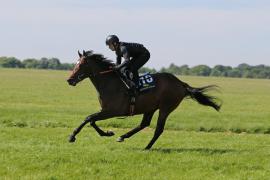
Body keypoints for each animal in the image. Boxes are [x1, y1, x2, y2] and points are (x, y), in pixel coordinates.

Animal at [66, 50, 220, 150]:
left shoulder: (112, 111)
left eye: (81, 65)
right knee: (144, 123)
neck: (110, 83)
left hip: (166, 108)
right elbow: (91, 120)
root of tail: (181, 83)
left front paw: (72, 136)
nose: (69, 80)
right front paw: (108, 133)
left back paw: (147, 147)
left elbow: (88, 118)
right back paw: (123, 136)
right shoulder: (105, 110)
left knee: (158, 129)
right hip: (150, 107)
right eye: (75, 64)